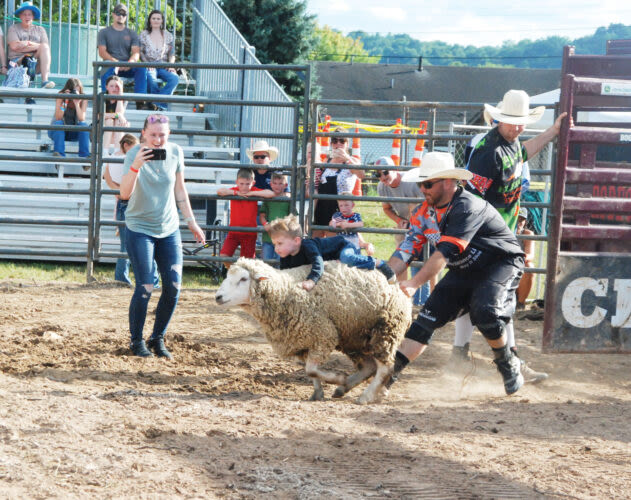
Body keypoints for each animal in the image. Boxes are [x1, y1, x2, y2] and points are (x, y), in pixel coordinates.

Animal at [214, 258, 410, 402]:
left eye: (243, 279)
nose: (218, 297)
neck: (284, 292)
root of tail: (401, 290)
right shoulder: (303, 341)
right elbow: (311, 371)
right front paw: (319, 392)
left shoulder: (322, 335)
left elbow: (311, 369)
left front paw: (337, 378)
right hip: (354, 337)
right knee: (369, 366)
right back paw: (344, 388)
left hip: (385, 331)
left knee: (385, 368)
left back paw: (365, 396)